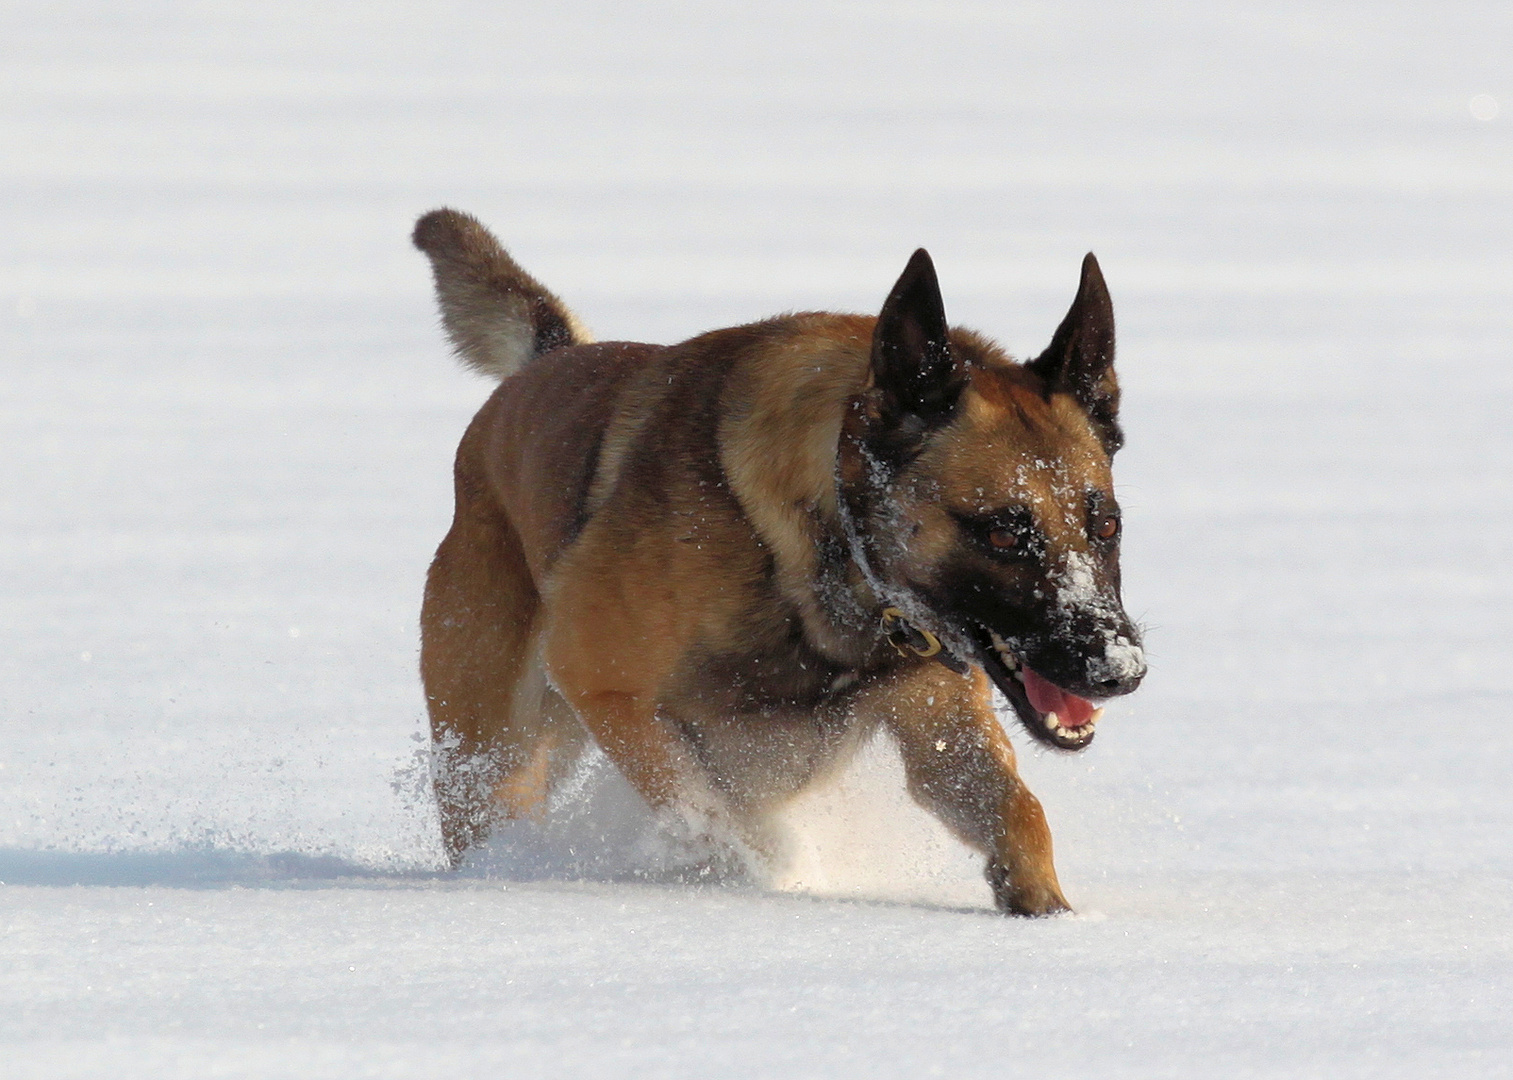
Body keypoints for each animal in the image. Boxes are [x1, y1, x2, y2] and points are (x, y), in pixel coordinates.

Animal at [408, 208, 1137, 907]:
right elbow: (706, 815)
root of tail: (547, 359)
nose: (1120, 670)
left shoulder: (935, 718)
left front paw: (1045, 908)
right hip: (495, 749)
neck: (822, 546)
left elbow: (1016, 811)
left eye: (1105, 526)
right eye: (1003, 534)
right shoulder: (608, 690)